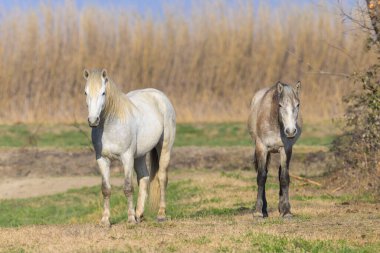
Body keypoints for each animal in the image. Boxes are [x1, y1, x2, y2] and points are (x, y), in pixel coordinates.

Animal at [83, 67, 175, 225]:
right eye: (86, 92)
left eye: (103, 92)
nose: (93, 120)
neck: (111, 125)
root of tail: (160, 96)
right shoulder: (102, 160)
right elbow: (106, 189)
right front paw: (105, 220)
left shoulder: (126, 158)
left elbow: (128, 188)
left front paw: (130, 219)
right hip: (140, 156)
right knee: (144, 178)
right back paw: (139, 214)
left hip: (164, 148)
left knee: (162, 177)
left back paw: (161, 214)